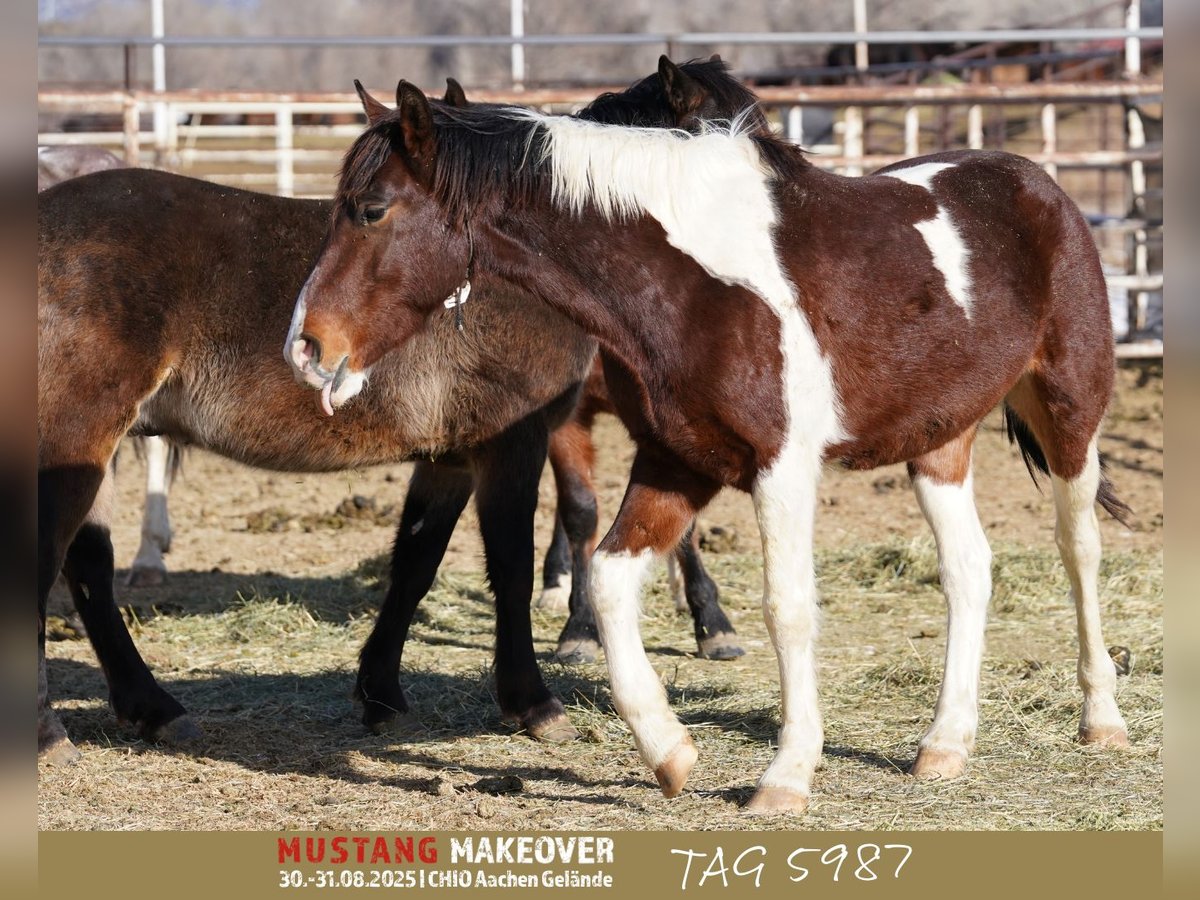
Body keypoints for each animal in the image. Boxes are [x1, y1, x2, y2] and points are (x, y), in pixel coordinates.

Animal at [35, 56, 748, 763]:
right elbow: (511, 568)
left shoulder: (451, 458)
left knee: (88, 566)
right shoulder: (513, 443)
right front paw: (531, 701)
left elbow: (414, 563)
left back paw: (153, 708)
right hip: (77, 439)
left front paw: (379, 694)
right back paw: (50, 732)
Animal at [290, 66, 1132, 816]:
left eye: (371, 209)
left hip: (1069, 414)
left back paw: (1101, 720)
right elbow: (609, 579)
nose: (307, 346)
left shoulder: (783, 469)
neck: (696, 284)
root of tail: (1035, 182)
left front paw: (787, 777)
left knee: (1080, 549)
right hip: (940, 441)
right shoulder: (678, 460)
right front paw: (670, 752)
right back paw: (945, 744)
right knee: (967, 570)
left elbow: (786, 608)